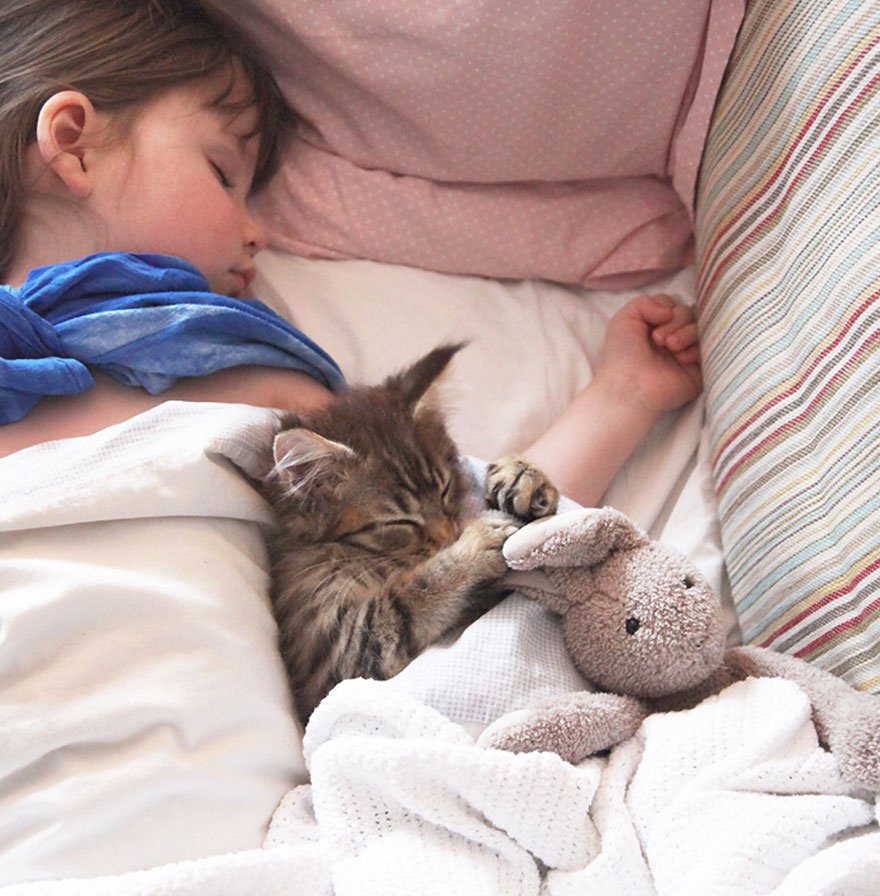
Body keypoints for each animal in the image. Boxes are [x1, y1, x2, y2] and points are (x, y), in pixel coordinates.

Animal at [262, 344, 556, 720]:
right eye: (399, 522)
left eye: (445, 489)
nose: (448, 536)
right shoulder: (335, 655)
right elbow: (407, 598)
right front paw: (477, 545)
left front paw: (519, 474)